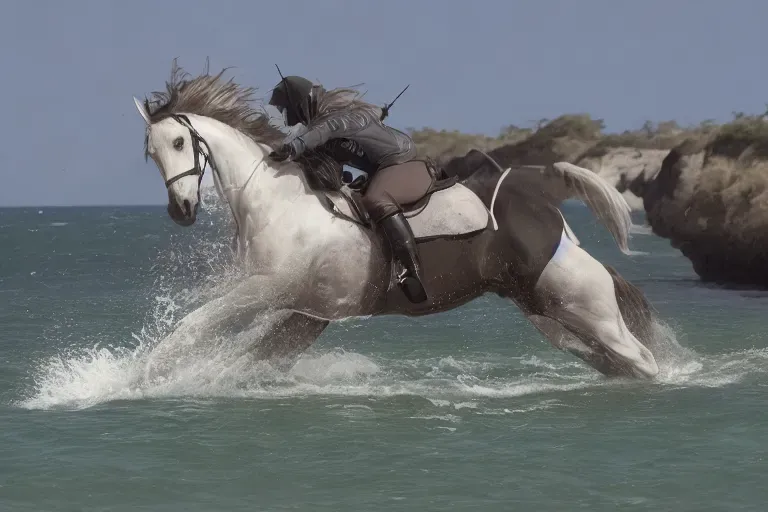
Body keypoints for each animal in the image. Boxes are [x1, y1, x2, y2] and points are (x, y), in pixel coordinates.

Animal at [133, 63, 660, 381]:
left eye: (178, 143)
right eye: (149, 153)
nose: (181, 211)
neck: (276, 203)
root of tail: (544, 202)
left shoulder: (268, 288)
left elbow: (195, 323)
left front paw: (145, 372)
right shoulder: (308, 310)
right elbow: (250, 352)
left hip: (576, 299)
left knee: (641, 360)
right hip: (546, 311)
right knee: (616, 359)